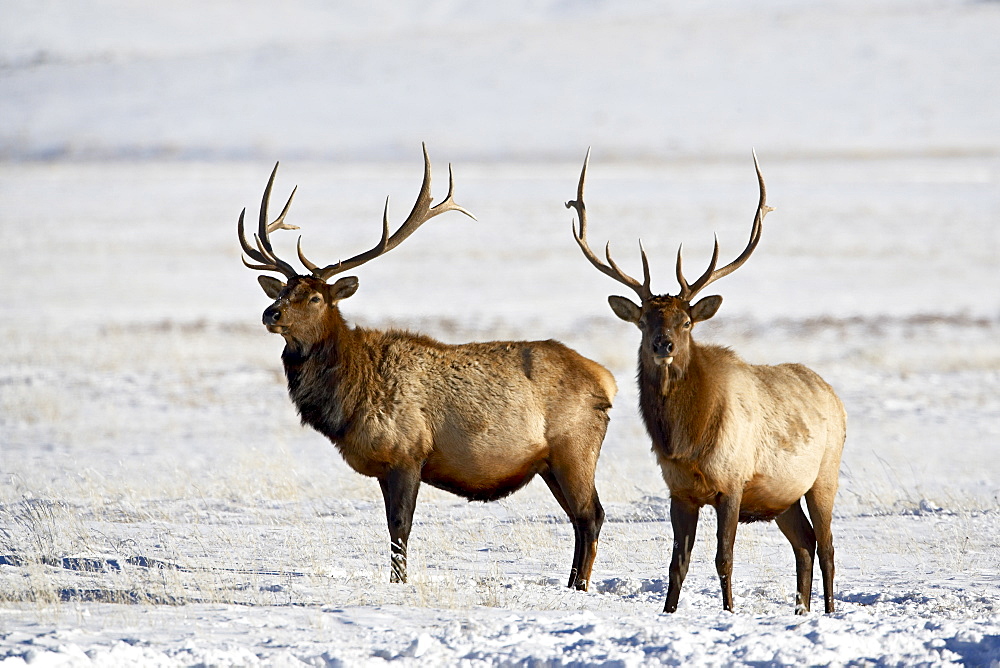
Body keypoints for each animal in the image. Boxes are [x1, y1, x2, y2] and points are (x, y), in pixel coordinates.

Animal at [241, 145, 616, 588]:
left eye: (316, 297)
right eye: (282, 289)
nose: (271, 313)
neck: (347, 399)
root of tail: (605, 380)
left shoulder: (407, 453)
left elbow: (400, 527)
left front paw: (399, 584)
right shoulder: (387, 466)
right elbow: (392, 528)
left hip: (573, 448)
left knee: (591, 515)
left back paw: (580, 586)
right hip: (550, 464)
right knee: (579, 519)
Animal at [564, 151, 844, 616]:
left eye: (686, 321)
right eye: (644, 319)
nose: (663, 344)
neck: (687, 439)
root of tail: (834, 396)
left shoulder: (733, 482)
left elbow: (723, 556)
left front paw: (730, 611)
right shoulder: (679, 491)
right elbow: (677, 562)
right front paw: (669, 611)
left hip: (825, 474)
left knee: (827, 547)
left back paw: (827, 611)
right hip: (782, 496)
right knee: (804, 544)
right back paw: (801, 609)